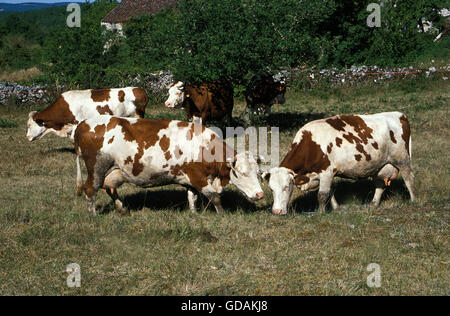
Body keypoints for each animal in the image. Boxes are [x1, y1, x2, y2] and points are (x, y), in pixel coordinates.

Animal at [74, 116, 264, 217]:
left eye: (258, 173)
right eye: (242, 173)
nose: (260, 194)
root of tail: (83, 123)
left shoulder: (190, 179)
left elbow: (192, 197)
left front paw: (194, 214)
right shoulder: (198, 177)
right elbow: (215, 197)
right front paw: (222, 215)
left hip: (113, 171)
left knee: (110, 189)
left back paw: (123, 209)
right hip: (97, 168)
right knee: (90, 189)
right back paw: (93, 215)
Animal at [264, 111, 414, 215]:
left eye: (286, 187)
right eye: (271, 189)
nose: (277, 211)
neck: (311, 144)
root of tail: (398, 115)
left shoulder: (326, 172)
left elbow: (322, 195)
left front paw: (320, 213)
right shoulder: (325, 175)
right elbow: (330, 193)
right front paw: (336, 208)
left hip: (402, 160)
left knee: (409, 179)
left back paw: (413, 201)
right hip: (380, 166)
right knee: (380, 184)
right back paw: (374, 203)